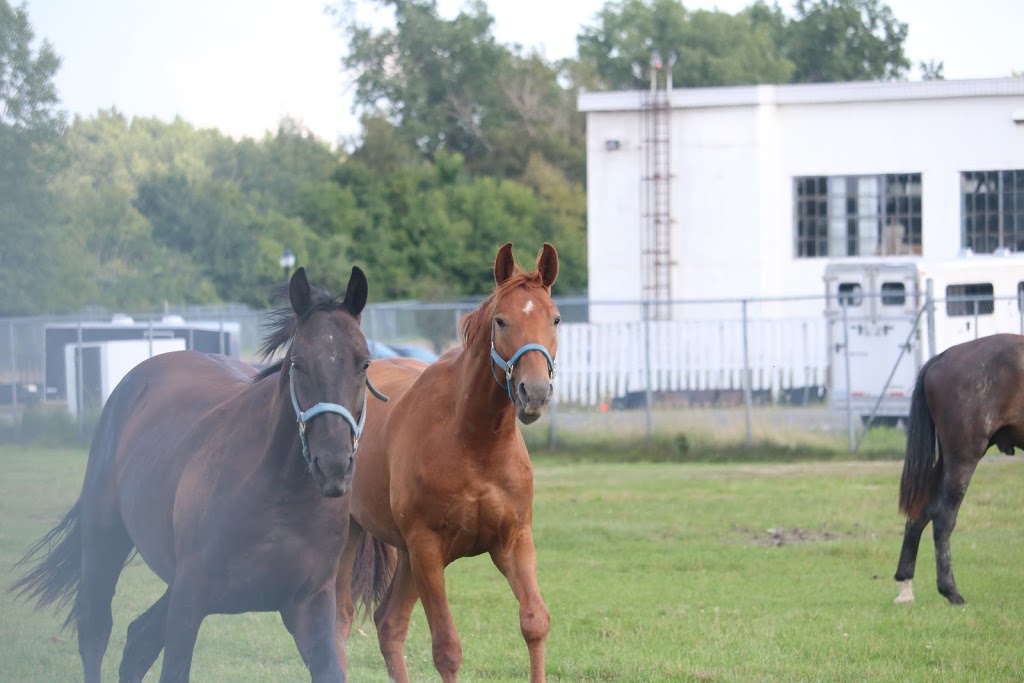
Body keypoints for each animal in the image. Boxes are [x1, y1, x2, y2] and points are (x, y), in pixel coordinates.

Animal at [9, 268, 378, 683]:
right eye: (298, 363)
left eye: (364, 363)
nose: (333, 465)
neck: (279, 498)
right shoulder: (190, 598)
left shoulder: (309, 606)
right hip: (104, 542)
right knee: (95, 632)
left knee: (138, 641)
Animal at [335, 242, 561, 679]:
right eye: (501, 322)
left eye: (555, 319)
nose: (535, 392)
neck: (474, 444)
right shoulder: (428, 549)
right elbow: (447, 649)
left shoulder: (513, 541)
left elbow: (535, 623)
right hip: (355, 538)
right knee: (340, 619)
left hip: (406, 555)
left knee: (389, 624)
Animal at [892, 333, 1024, 606]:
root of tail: (944, 357)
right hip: (963, 457)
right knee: (943, 519)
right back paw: (950, 590)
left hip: (947, 461)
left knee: (919, 514)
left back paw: (905, 586)